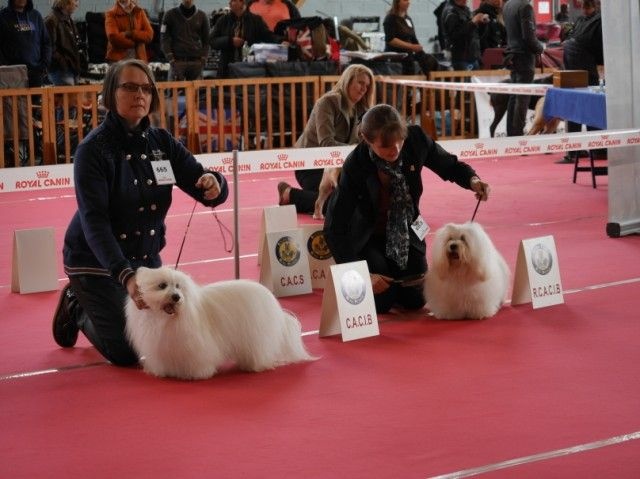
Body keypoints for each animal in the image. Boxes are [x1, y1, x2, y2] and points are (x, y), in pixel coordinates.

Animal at [125, 267, 316, 380]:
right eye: (162, 285)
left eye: (178, 286)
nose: (176, 297)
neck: (166, 319)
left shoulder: (196, 345)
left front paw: (198, 373)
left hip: (256, 334)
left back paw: (254, 366)